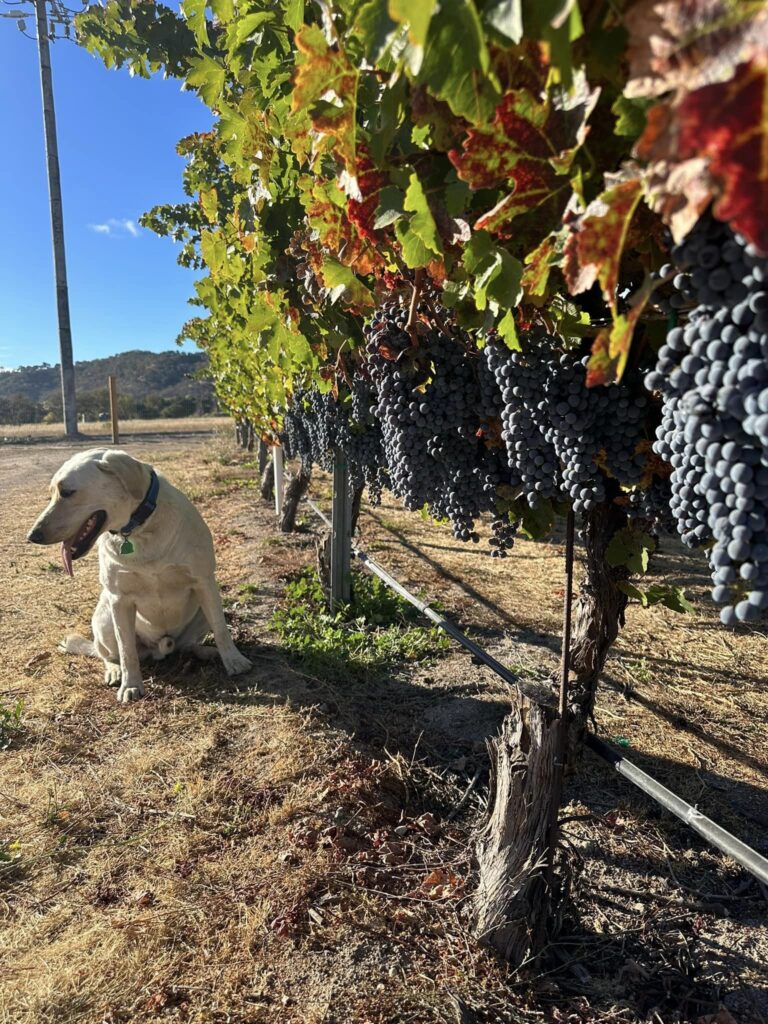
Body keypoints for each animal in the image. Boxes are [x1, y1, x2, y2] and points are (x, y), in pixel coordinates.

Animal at [27, 450, 252, 704]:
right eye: (52, 494)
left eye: (66, 492)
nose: (32, 536)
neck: (138, 528)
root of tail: (157, 649)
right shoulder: (119, 599)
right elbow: (127, 652)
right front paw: (131, 685)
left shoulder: (204, 582)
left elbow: (221, 630)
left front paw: (234, 661)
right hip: (105, 618)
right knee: (108, 654)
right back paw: (115, 671)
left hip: (205, 609)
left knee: (189, 644)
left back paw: (206, 651)